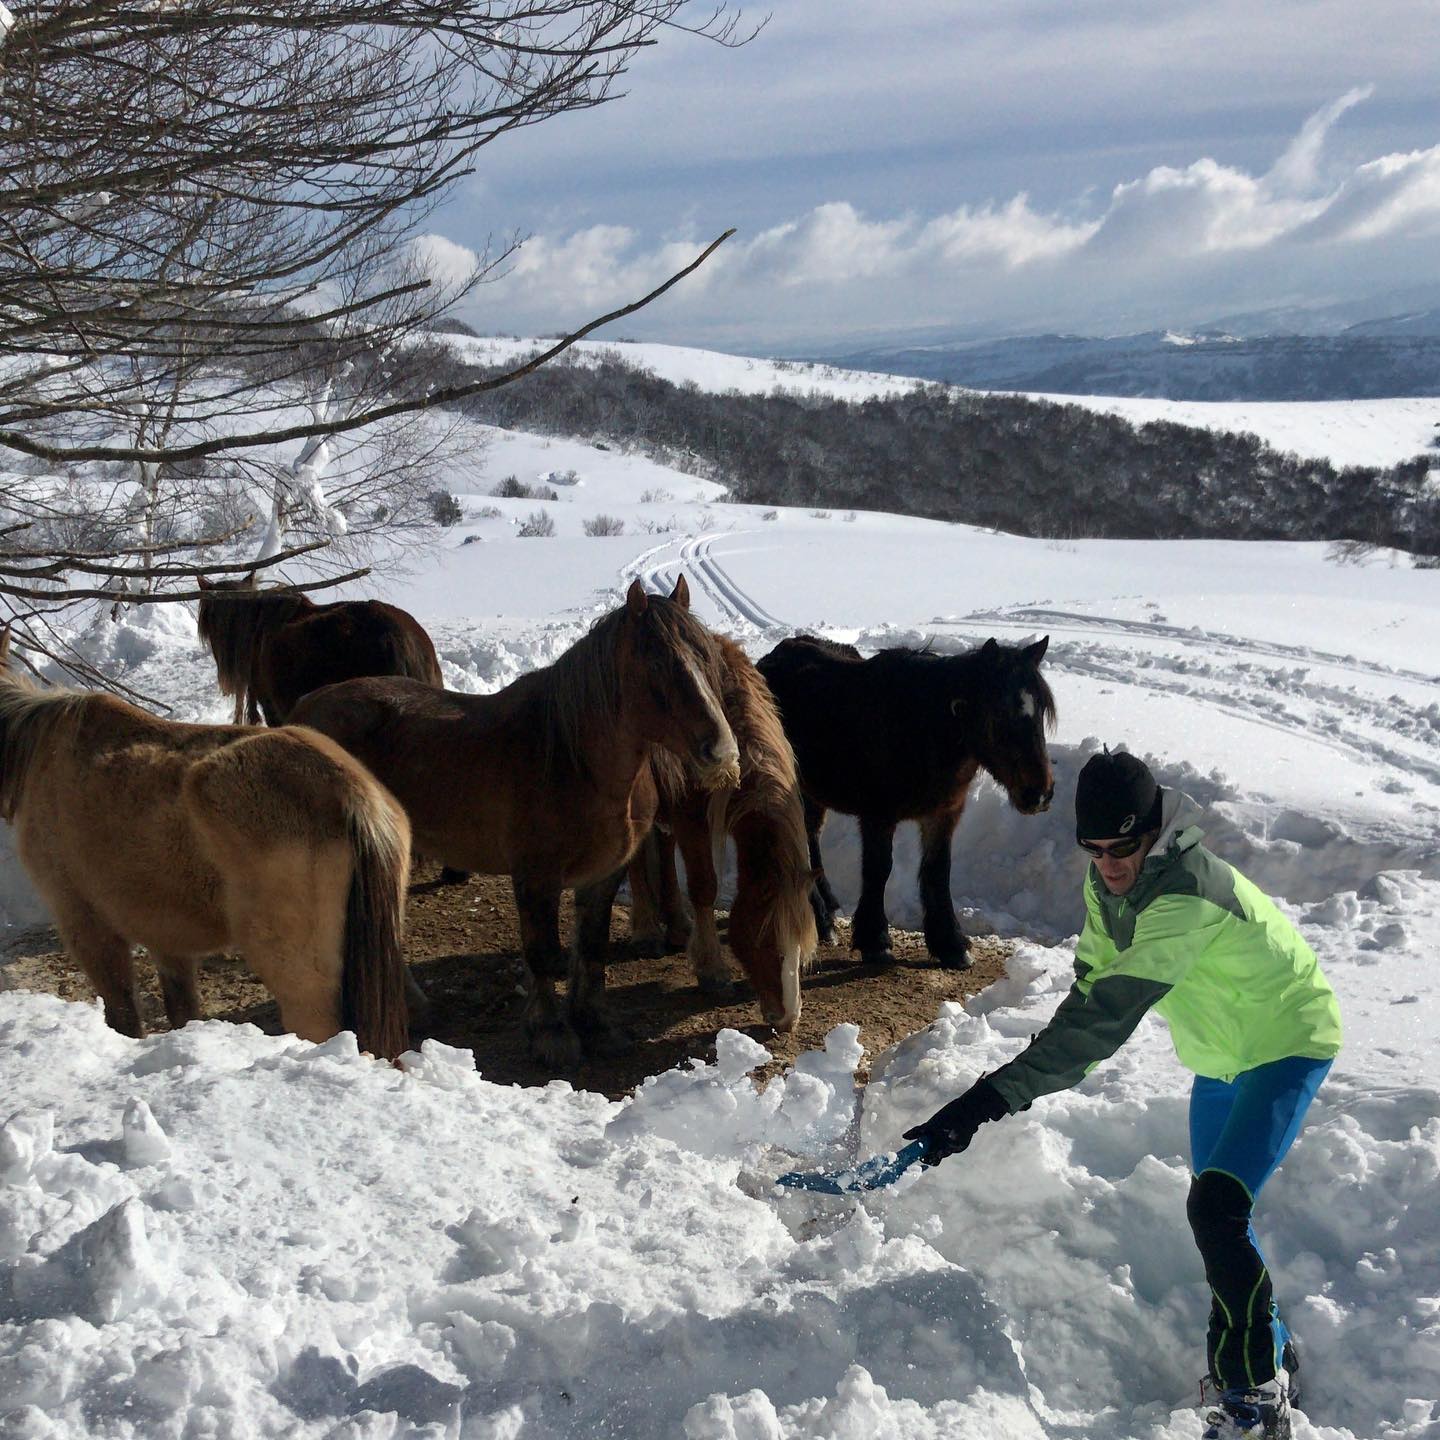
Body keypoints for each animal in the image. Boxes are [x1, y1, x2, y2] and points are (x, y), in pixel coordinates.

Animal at [1, 630, 417, 1059]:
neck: (39, 753)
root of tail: (354, 796)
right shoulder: (166, 938)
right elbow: (182, 1011)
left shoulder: (86, 923)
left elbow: (124, 1016)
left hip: (302, 984)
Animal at [290, 576, 743, 1071]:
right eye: (658, 663)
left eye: (708, 658)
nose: (721, 752)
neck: (573, 758)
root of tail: (303, 712)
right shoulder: (536, 877)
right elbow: (542, 953)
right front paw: (551, 1035)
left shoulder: (603, 875)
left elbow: (592, 947)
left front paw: (596, 1025)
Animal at [627, 636, 817, 1031]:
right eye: (769, 940)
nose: (788, 1019)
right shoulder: (692, 819)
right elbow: (704, 887)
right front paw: (712, 970)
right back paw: (647, 931)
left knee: (663, 849)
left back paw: (677, 925)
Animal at [754, 639, 1059, 967]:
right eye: (1000, 713)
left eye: (1041, 709)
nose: (1039, 793)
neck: (920, 727)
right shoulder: (877, 816)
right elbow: (879, 869)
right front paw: (875, 941)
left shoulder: (943, 814)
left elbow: (938, 870)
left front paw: (951, 944)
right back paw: (821, 919)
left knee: (811, 836)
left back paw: (828, 910)